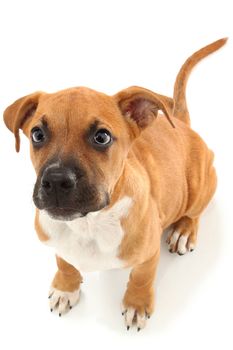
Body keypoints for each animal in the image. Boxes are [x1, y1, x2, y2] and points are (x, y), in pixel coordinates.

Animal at [3, 38, 226, 330]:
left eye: (102, 137)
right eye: (37, 134)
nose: (56, 180)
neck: (89, 223)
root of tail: (179, 122)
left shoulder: (149, 254)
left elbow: (141, 277)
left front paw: (136, 304)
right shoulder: (57, 239)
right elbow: (65, 262)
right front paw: (65, 287)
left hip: (201, 183)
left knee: (195, 212)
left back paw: (184, 230)